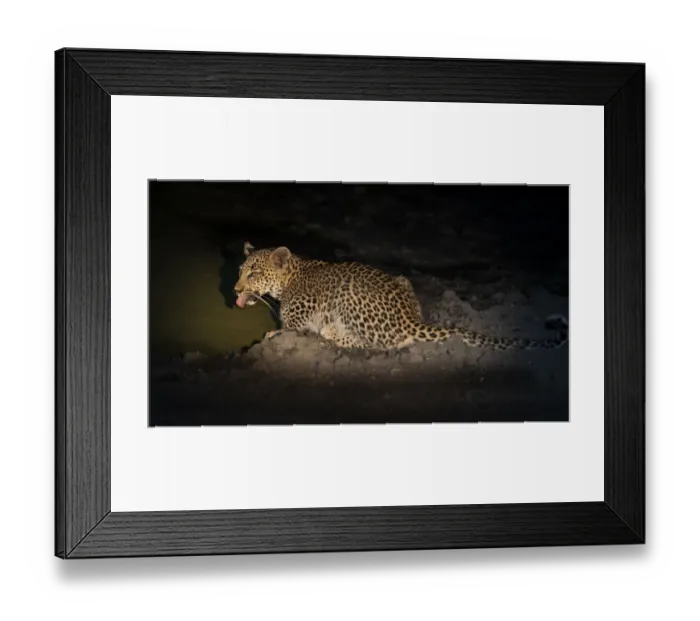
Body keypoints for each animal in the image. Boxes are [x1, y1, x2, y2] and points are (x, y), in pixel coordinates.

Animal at [233, 242, 568, 351]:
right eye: (240, 271)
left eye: (253, 273)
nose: (235, 290)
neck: (289, 277)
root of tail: (410, 317)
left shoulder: (297, 323)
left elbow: (283, 330)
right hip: (403, 280)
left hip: (348, 295)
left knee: (383, 343)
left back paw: (332, 332)